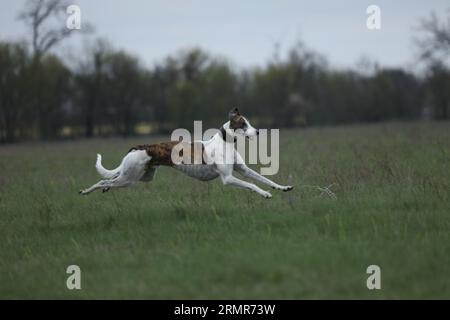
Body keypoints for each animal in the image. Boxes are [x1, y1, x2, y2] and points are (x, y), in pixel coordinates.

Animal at [79, 109, 294, 199]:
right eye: (243, 124)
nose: (257, 132)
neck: (225, 143)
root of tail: (138, 147)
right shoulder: (228, 179)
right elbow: (252, 185)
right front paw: (265, 194)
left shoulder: (244, 170)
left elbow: (264, 179)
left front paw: (282, 188)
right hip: (130, 178)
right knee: (103, 181)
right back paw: (87, 191)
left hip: (141, 177)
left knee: (110, 179)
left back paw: (105, 188)